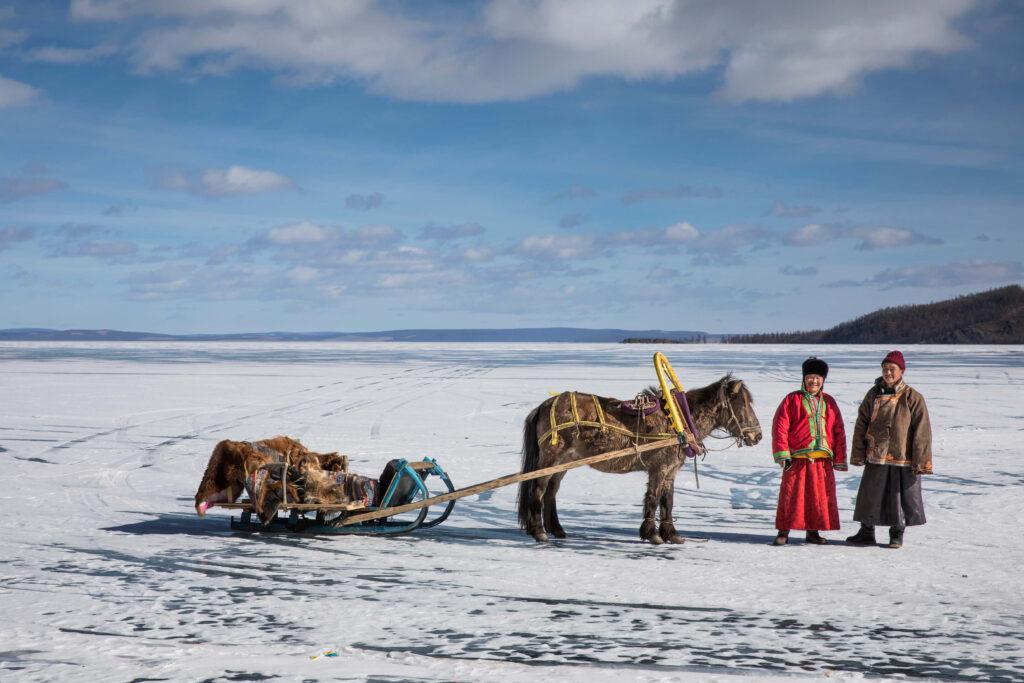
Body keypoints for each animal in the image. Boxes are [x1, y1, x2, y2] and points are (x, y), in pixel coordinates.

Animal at [517, 375, 762, 544]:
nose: (757, 436)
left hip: (563, 462)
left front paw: (671, 534)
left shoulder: (671, 470)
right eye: (742, 405)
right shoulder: (659, 468)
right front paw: (652, 534)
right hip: (551, 457)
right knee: (538, 490)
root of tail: (543, 406)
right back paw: (539, 531)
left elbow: (667, 501)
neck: (679, 419)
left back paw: (557, 529)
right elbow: (653, 499)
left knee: (551, 492)